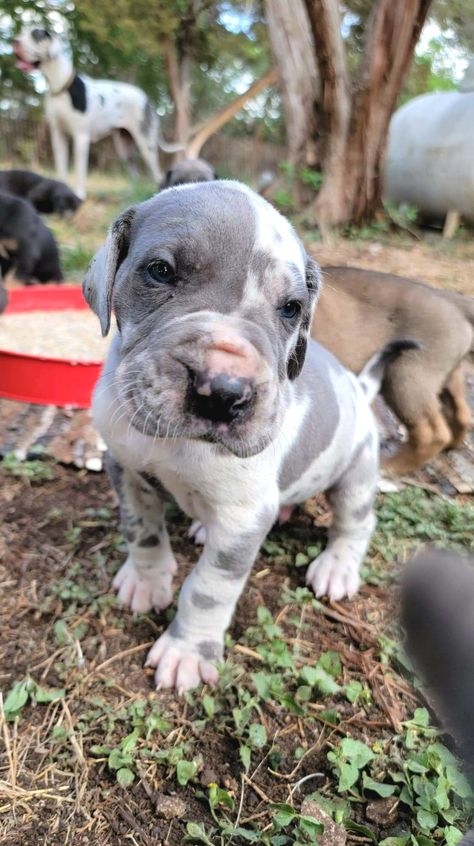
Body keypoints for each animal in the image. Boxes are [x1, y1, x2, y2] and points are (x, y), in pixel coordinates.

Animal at [12, 26, 183, 199]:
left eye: (36, 36)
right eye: (23, 32)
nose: (15, 42)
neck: (61, 88)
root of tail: (147, 100)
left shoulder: (81, 138)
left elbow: (80, 171)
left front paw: (79, 194)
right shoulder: (58, 136)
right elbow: (61, 169)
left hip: (146, 144)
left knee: (157, 175)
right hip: (124, 147)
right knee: (135, 173)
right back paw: (128, 194)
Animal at [84, 182, 414, 692]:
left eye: (291, 309)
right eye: (160, 271)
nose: (223, 392)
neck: (178, 445)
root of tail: (359, 389)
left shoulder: (242, 522)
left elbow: (207, 590)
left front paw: (186, 650)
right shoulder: (127, 470)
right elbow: (142, 532)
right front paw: (147, 580)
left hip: (356, 476)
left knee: (356, 523)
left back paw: (337, 566)